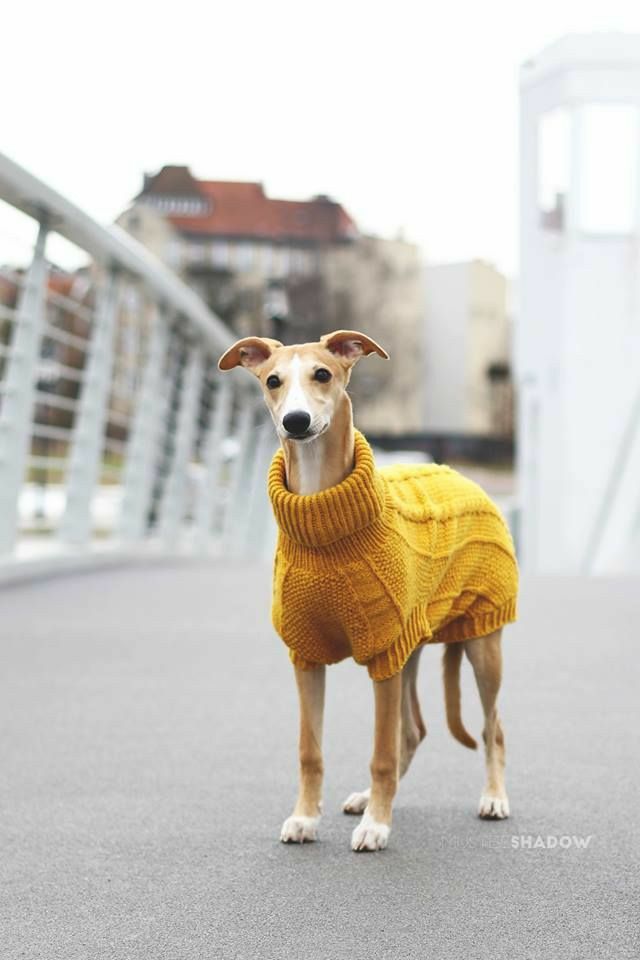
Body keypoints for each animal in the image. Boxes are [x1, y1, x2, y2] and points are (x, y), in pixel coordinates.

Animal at [218, 332, 516, 856]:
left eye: (323, 374)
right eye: (273, 381)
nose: (296, 422)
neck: (322, 513)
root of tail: (458, 472)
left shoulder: (383, 656)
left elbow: (380, 751)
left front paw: (377, 826)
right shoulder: (307, 656)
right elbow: (310, 751)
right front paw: (305, 818)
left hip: (483, 645)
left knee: (490, 727)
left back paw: (493, 798)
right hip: (411, 648)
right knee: (414, 731)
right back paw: (364, 799)